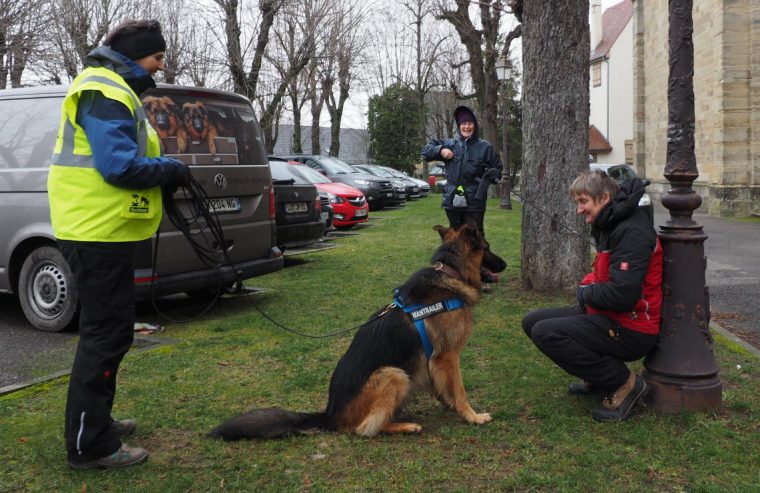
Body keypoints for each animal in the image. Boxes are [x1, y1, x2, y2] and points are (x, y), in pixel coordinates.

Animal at [209, 224, 504, 438]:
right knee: (364, 429)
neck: (450, 273)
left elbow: (446, 389)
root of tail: (329, 414)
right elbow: (460, 390)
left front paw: (451, 406)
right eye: (488, 248)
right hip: (393, 374)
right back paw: (404, 426)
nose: (505, 264)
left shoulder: (438, 362)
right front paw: (472, 416)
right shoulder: (447, 356)